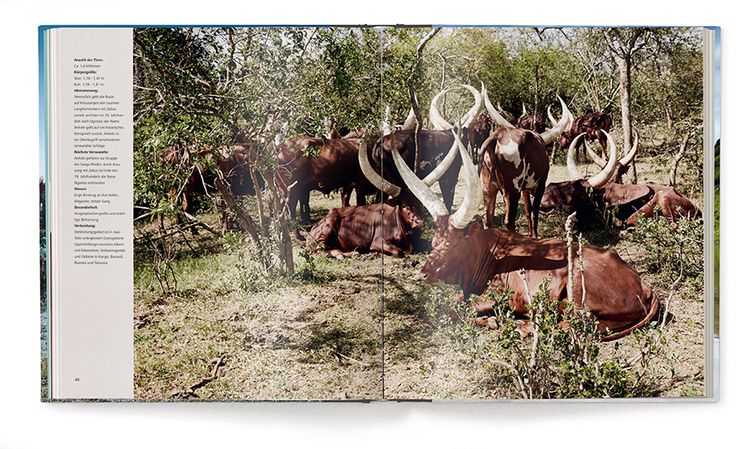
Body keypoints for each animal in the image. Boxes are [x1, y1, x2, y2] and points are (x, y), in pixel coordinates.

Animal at [378, 130, 660, 341]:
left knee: (574, 326)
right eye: (435, 242)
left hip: (577, 293)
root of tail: (645, 286)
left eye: (454, 244)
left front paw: (492, 320)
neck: (489, 251)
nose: (423, 274)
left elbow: (461, 307)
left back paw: (521, 327)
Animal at [479, 82, 572, 237]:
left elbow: (528, 210)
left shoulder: (525, 189)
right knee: (509, 221)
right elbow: (534, 212)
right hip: (512, 189)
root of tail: (498, 135)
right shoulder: (540, 185)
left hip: (488, 187)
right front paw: (535, 236)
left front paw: (530, 235)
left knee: (487, 218)